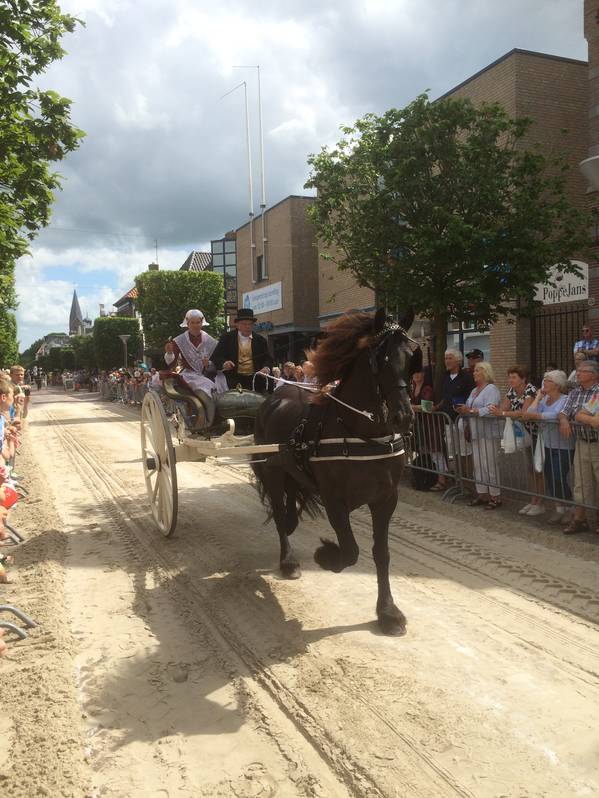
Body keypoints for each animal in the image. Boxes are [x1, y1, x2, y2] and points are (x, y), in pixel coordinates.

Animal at [253, 308, 422, 636]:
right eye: (379, 360)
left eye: (412, 357)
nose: (404, 417)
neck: (360, 434)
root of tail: (276, 395)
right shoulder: (334, 501)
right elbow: (351, 550)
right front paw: (327, 556)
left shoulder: (386, 500)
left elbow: (381, 554)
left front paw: (388, 613)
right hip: (273, 472)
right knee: (279, 514)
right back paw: (288, 561)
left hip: (292, 471)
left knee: (289, 509)